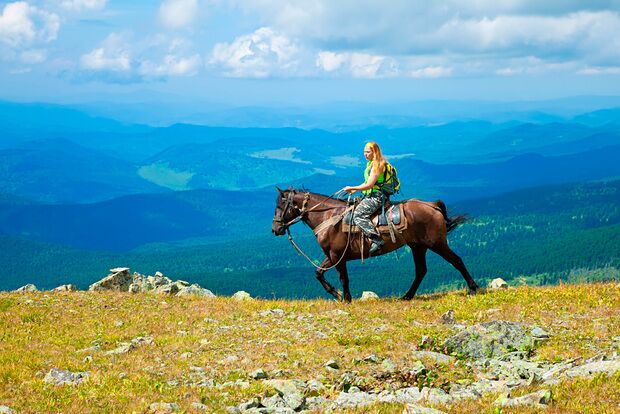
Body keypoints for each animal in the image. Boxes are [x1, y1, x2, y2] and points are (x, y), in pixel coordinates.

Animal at [272, 187, 480, 300]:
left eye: (280, 206)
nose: (275, 229)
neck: (328, 217)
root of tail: (432, 205)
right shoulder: (330, 255)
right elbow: (318, 273)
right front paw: (337, 294)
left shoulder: (337, 256)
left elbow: (343, 278)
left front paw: (345, 298)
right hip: (418, 247)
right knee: (421, 271)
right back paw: (407, 296)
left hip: (436, 243)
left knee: (456, 261)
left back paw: (474, 288)